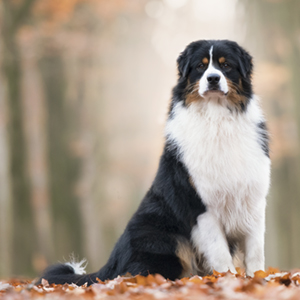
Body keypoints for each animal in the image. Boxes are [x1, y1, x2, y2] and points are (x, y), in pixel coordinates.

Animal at [38, 39, 270, 286]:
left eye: (226, 66)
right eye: (200, 66)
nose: (213, 78)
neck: (217, 119)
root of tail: (111, 264)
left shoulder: (253, 198)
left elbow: (256, 250)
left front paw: (259, 278)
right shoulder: (199, 204)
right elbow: (220, 252)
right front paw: (229, 279)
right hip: (160, 236)